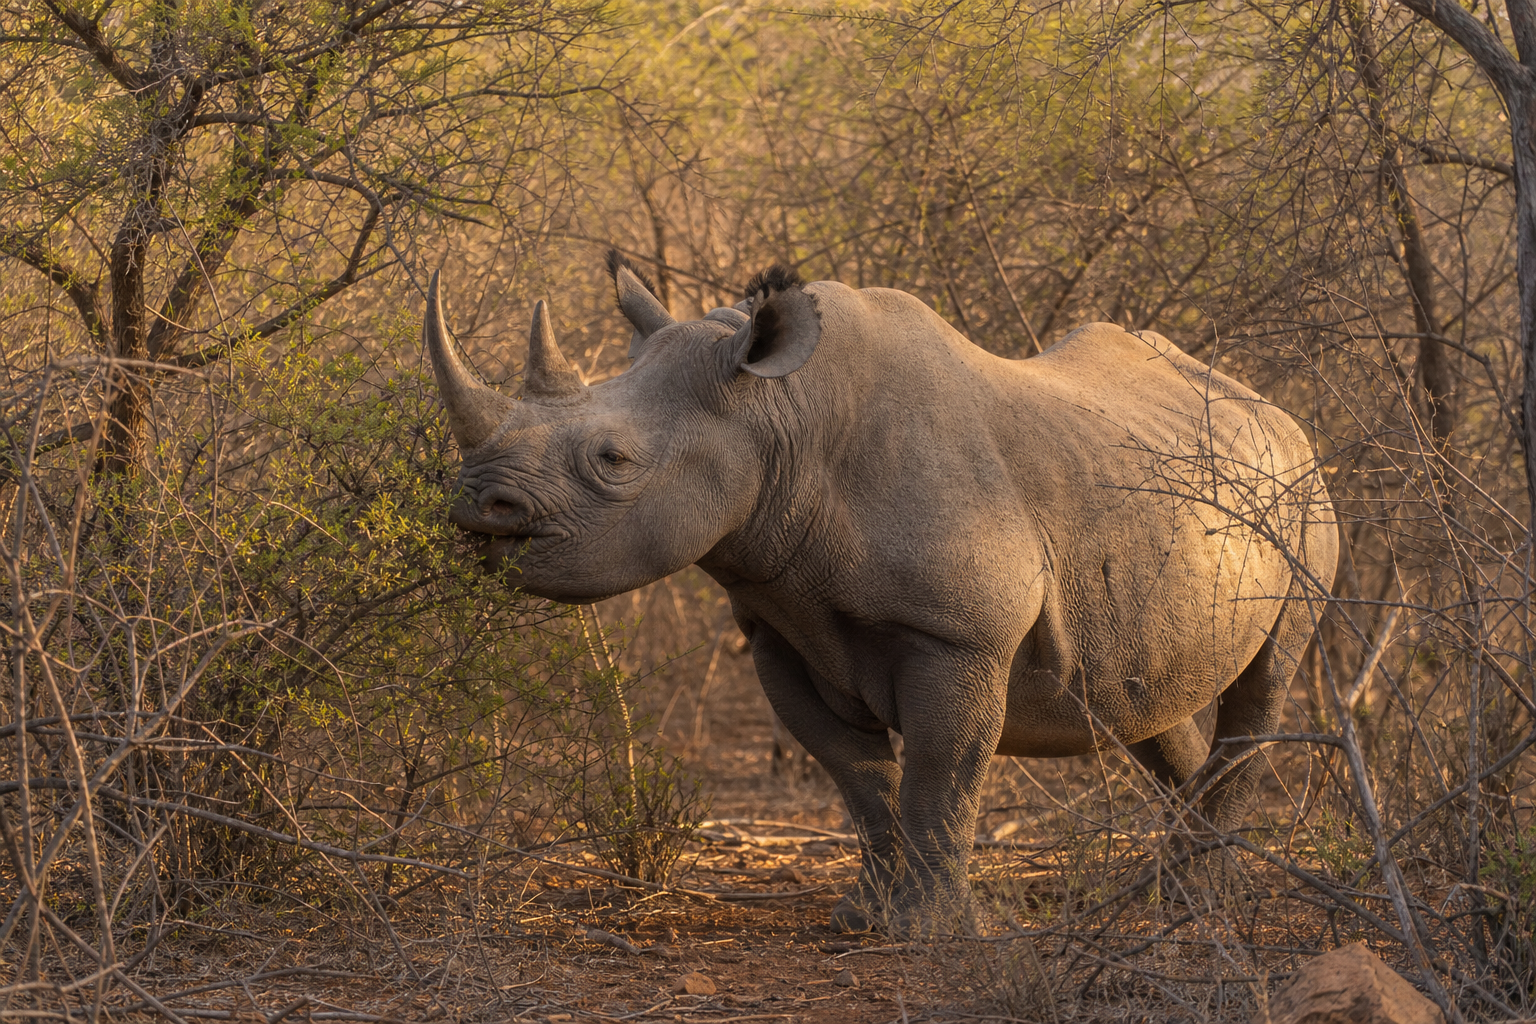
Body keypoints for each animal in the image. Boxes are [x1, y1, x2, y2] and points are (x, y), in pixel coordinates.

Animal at [422, 253, 1338, 932]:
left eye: (612, 460)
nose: (477, 504)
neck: (780, 418)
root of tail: (1275, 410)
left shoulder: (958, 634)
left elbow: (940, 771)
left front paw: (929, 934)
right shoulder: (779, 624)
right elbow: (858, 777)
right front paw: (862, 920)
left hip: (1302, 494)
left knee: (1267, 682)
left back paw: (1202, 902)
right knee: (1143, 699)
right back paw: (1182, 889)